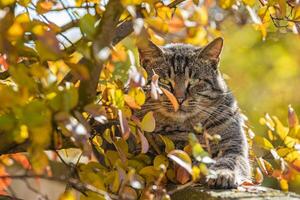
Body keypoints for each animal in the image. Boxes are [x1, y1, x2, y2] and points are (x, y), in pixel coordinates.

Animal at [138, 37, 251, 189]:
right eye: (164, 81)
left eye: (195, 80)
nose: (179, 99)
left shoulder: (233, 145)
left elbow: (230, 161)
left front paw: (222, 174)